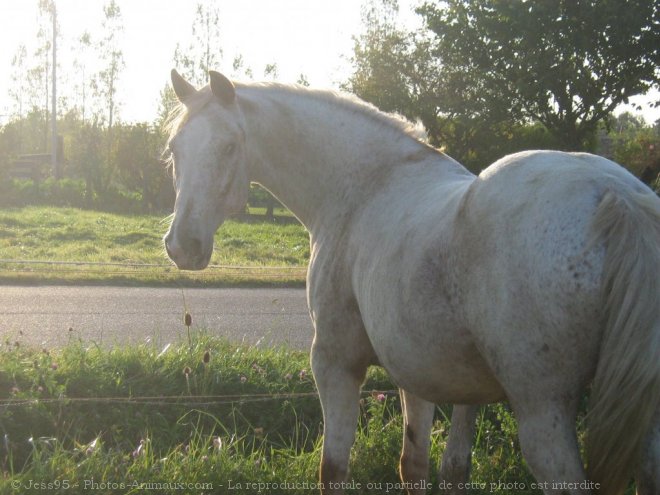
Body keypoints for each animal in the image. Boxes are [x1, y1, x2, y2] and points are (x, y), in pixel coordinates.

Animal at [164, 70, 660, 495]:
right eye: (174, 149)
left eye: (229, 146)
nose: (182, 244)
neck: (366, 185)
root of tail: (617, 195)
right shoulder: (439, 380)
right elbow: (435, 467)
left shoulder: (335, 363)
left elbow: (335, 468)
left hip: (543, 414)